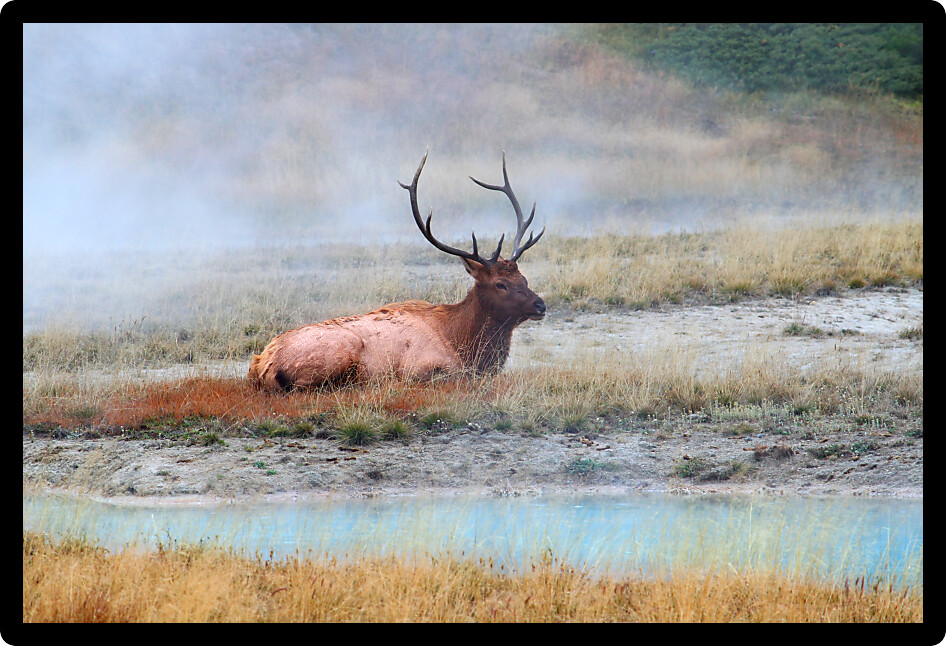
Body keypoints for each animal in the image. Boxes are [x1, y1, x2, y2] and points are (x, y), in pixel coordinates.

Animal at [247, 151, 547, 391]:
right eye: (500, 284)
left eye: (523, 278)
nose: (540, 305)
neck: (463, 344)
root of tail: (261, 365)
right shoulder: (421, 367)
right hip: (340, 349)